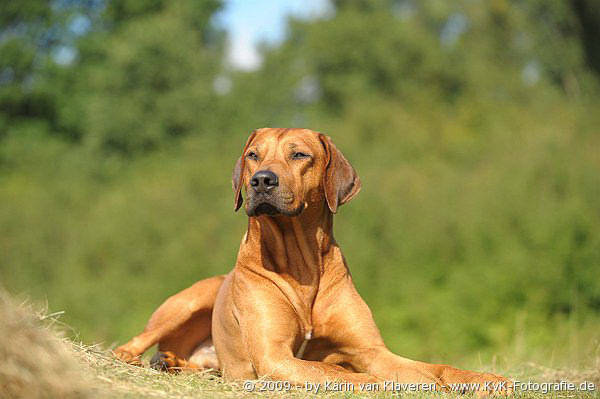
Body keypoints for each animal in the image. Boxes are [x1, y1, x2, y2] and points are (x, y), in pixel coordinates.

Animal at [113, 129, 510, 396]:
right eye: (253, 155)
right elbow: (347, 375)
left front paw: (483, 379)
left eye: (300, 155)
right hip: (192, 298)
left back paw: (171, 363)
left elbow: (435, 367)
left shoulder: (370, 350)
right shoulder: (275, 357)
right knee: (131, 344)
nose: (261, 180)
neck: (301, 266)